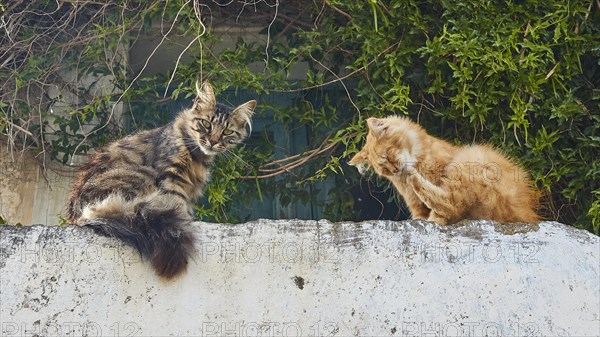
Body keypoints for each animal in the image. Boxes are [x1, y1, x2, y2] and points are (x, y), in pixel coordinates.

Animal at [67, 80, 255, 278]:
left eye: (227, 132)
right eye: (206, 124)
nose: (212, 141)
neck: (197, 157)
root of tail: (76, 216)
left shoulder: (190, 189)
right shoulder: (171, 176)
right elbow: (177, 203)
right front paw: (183, 221)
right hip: (141, 176)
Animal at [346, 117, 540, 224]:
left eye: (387, 155)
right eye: (384, 170)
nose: (395, 169)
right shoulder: (417, 207)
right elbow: (421, 215)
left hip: (470, 159)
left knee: (451, 206)